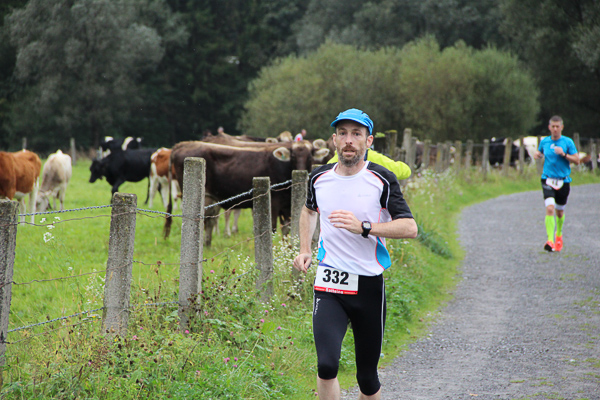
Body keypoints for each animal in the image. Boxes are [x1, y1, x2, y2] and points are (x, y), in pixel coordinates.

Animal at [164, 140, 313, 239]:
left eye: (311, 156)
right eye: (293, 156)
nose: (302, 171)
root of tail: (184, 144)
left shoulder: (287, 207)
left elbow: (287, 230)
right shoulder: (274, 203)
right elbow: (273, 228)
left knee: (209, 220)